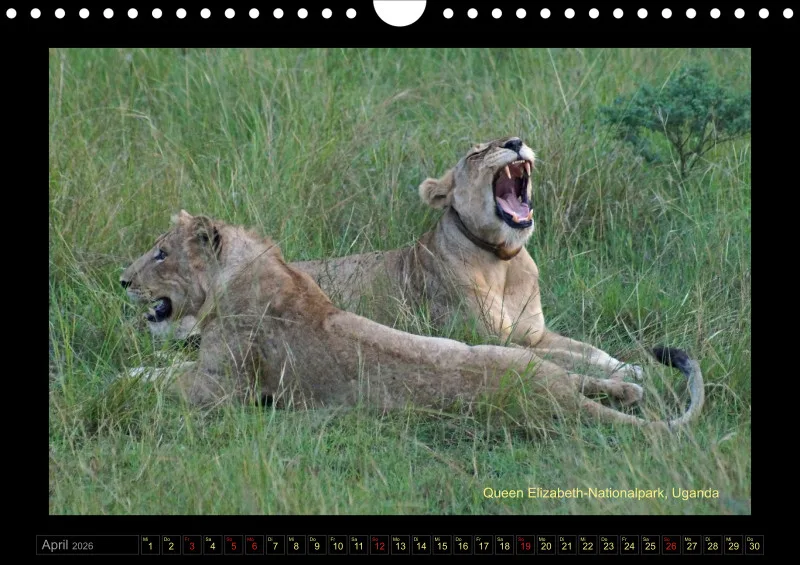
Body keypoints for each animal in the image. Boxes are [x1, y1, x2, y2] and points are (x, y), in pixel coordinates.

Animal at [119, 211, 704, 431]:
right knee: (596, 380)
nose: (123, 280)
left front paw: (124, 379)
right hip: (505, 353)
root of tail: (550, 399)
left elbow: (162, 379)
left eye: (160, 254)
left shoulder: (221, 391)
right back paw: (631, 385)